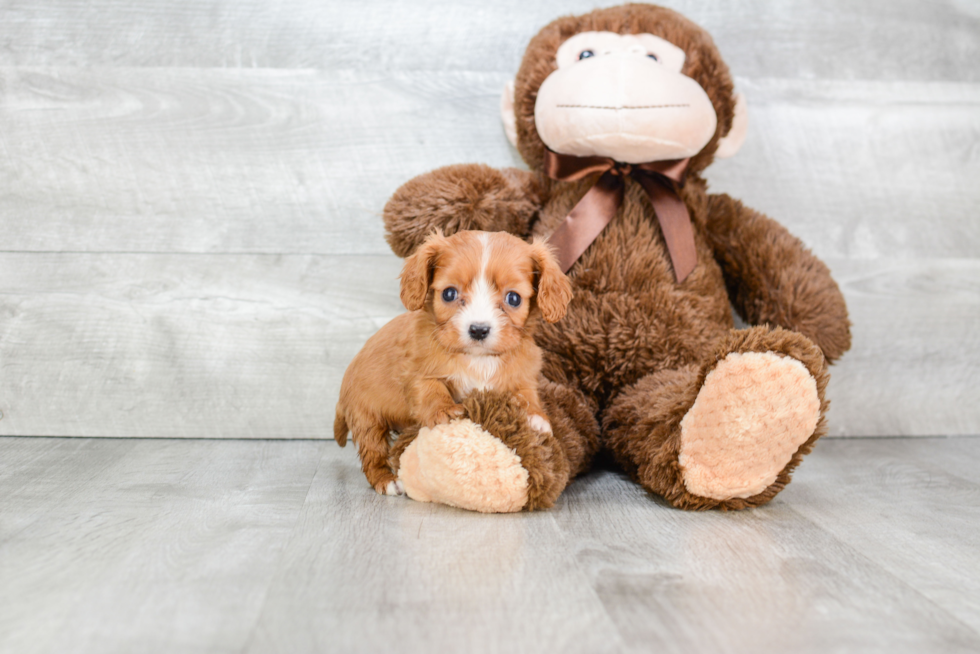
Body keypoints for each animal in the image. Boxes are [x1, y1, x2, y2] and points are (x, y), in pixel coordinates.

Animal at [334, 233, 576, 494]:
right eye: (449, 294)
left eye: (513, 298)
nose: (478, 330)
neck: (477, 358)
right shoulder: (417, 371)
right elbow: (430, 389)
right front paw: (444, 411)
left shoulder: (521, 374)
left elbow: (526, 394)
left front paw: (535, 417)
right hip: (366, 418)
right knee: (372, 452)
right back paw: (385, 480)